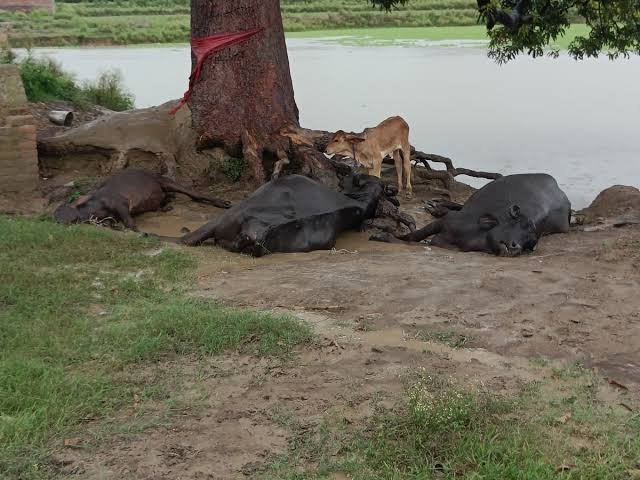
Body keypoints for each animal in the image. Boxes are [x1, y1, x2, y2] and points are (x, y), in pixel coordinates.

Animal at [54, 169, 230, 229]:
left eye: (60, 211)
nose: (55, 220)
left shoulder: (121, 203)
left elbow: (130, 223)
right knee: (165, 199)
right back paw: (166, 205)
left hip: (164, 181)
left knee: (194, 194)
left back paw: (223, 202)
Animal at [370, 172, 568, 255]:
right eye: (518, 224)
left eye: (530, 241)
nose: (515, 247)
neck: (473, 235)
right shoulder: (445, 223)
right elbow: (414, 236)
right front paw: (382, 235)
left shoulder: (442, 244)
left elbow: (416, 242)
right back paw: (436, 205)